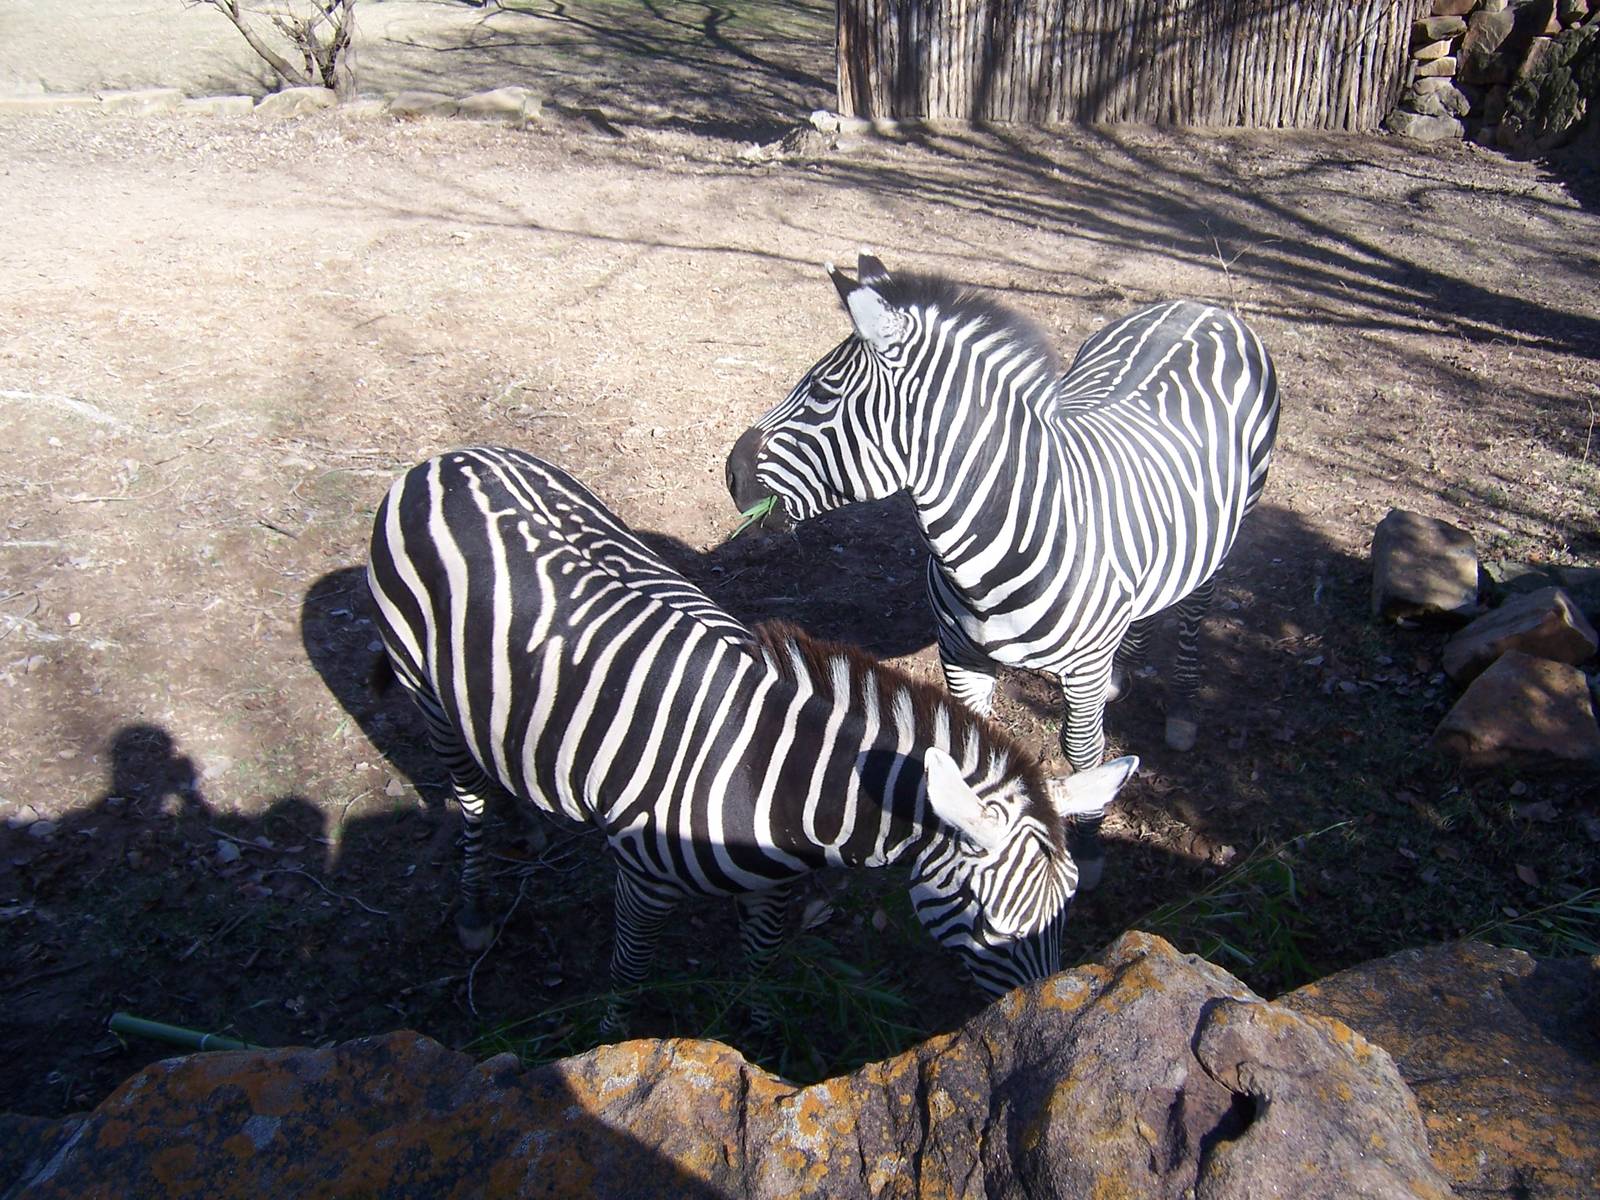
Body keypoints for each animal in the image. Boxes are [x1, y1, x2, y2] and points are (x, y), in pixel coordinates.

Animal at [366, 446, 1138, 1025]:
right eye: (986, 923)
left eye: (1067, 911)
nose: (1041, 1022)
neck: (776, 776)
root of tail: (447, 459)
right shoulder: (641, 880)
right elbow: (630, 974)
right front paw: (615, 1035)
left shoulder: (776, 890)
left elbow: (762, 967)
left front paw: (759, 1038)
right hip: (425, 692)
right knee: (466, 799)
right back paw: (475, 906)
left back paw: (525, 825)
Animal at [725, 255, 1279, 885]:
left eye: (821, 391)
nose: (730, 473)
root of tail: (1199, 306)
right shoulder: (960, 656)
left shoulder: (1080, 673)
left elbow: (1084, 754)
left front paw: (1088, 847)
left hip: (1232, 525)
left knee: (1194, 610)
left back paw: (1184, 706)